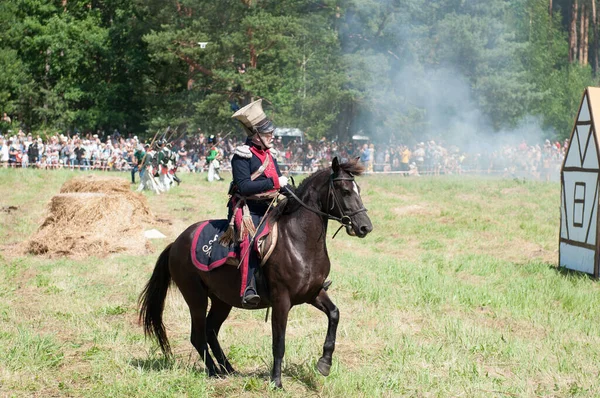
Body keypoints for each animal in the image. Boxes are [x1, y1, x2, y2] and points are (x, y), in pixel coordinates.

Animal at [139, 157, 372, 388]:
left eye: (358, 189)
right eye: (345, 191)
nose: (365, 227)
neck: (298, 240)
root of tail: (176, 243)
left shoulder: (312, 293)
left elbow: (334, 314)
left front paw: (324, 363)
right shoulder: (281, 301)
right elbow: (279, 342)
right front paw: (276, 381)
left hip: (222, 301)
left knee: (210, 331)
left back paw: (228, 369)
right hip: (196, 297)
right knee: (198, 336)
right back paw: (214, 372)